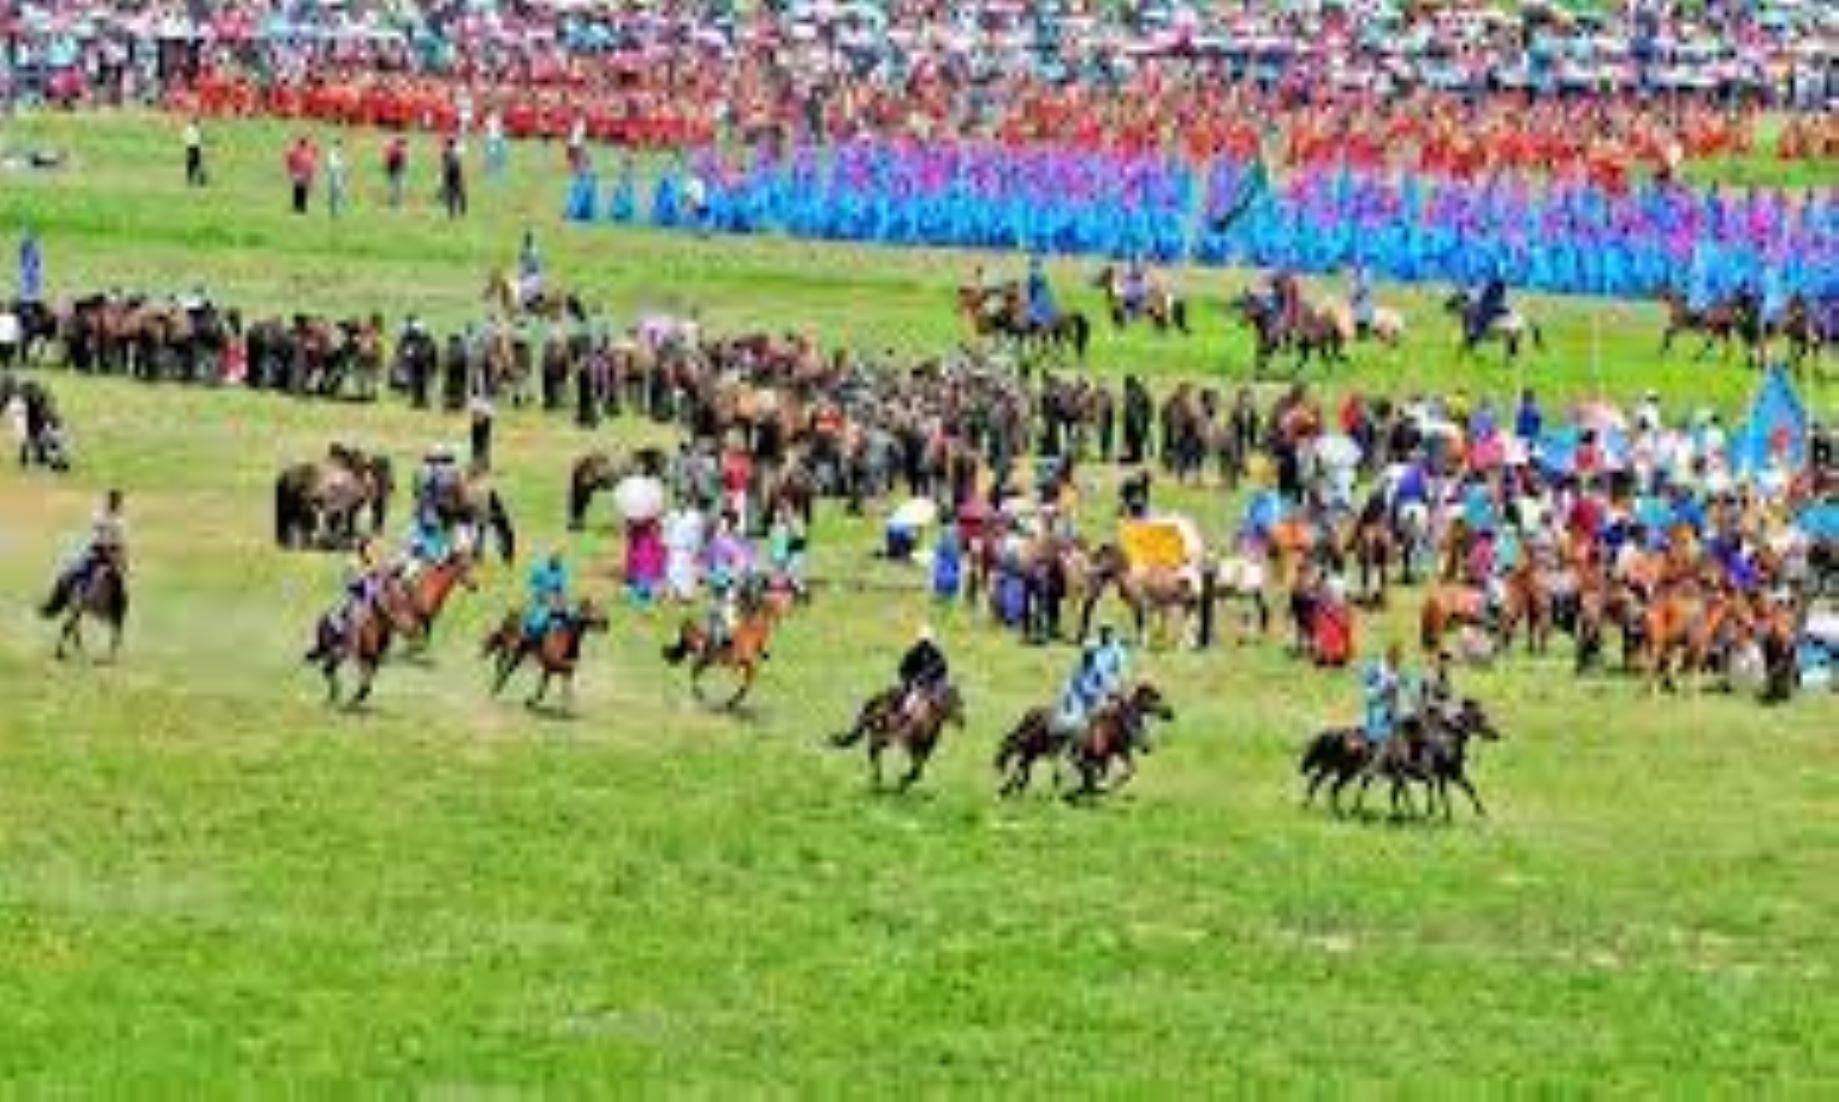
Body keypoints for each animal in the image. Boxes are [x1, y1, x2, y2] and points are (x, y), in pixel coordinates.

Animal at [481, 599, 610, 710]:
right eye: (593, 609)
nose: (606, 622)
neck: (564, 639)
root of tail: (513, 611)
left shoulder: (550, 668)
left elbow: (549, 687)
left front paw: (532, 701)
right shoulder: (553, 664)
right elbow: (561, 675)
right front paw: (531, 701)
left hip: (519, 652)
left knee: (506, 666)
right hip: (513, 644)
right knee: (501, 649)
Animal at [831, 680, 963, 794]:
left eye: (961, 702)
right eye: (955, 702)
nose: (962, 722)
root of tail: (878, 697)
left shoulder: (924, 750)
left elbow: (917, 771)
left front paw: (902, 783)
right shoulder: (913, 747)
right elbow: (915, 771)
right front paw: (901, 782)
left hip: (882, 736)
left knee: (874, 751)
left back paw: (878, 781)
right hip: (881, 734)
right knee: (873, 750)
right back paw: (877, 780)